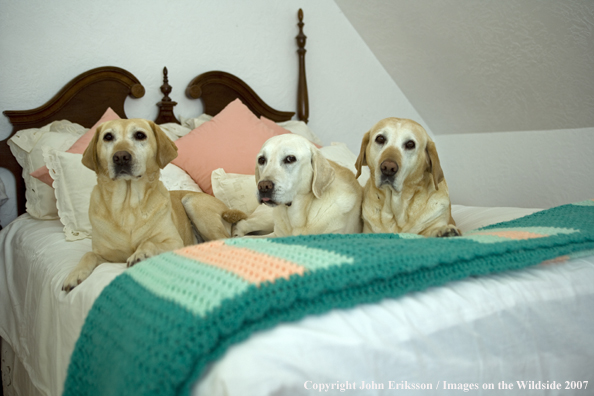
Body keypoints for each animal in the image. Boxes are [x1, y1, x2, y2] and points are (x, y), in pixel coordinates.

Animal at [65, 119, 247, 292]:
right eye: (108, 137)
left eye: (140, 135)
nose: (121, 157)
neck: (127, 207)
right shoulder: (108, 257)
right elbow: (88, 254)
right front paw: (74, 275)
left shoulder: (174, 242)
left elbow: (149, 242)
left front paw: (139, 254)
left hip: (192, 203)